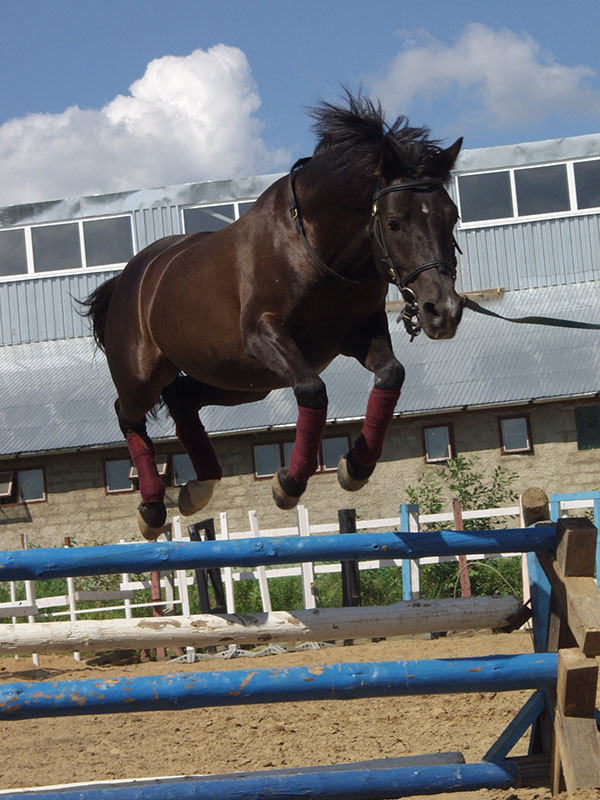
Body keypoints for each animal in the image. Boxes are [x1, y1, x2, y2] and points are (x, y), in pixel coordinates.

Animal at [83, 97, 464, 540]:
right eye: (394, 222)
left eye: (451, 216)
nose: (444, 311)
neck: (316, 247)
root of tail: (131, 275)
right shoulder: (265, 335)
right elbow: (313, 390)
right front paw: (290, 482)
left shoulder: (358, 334)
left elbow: (390, 374)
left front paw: (356, 466)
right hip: (148, 375)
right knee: (128, 414)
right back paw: (152, 506)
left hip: (240, 381)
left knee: (180, 399)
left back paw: (199, 487)